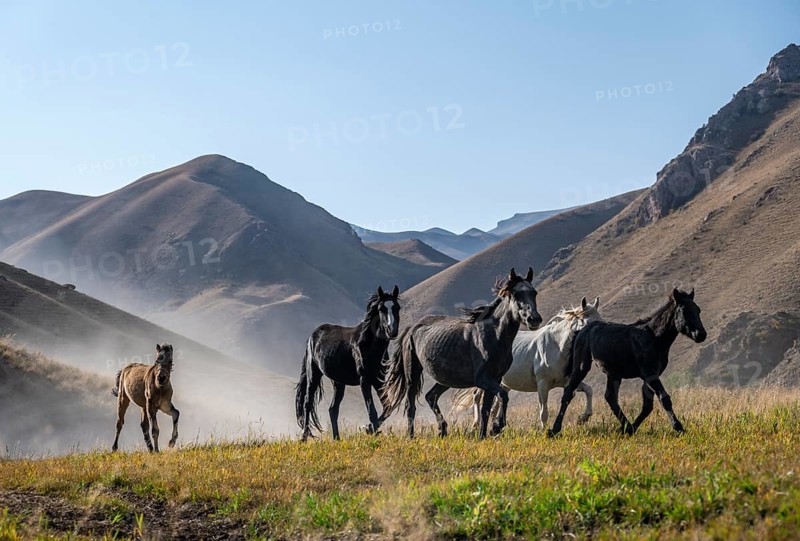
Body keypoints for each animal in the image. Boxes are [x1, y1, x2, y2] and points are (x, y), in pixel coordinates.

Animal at [295, 286, 400, 441]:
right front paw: (370, 430)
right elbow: (372, 410)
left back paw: (337, 438)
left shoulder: (378, 380)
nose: (392, 331)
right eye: (382, 308)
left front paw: (369, 428)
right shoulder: (364, 380)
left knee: (333, 409)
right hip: (314, 374)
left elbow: (388, 406)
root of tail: (312, 336)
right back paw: (303, 437)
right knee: (308, 402)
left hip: (338, 382)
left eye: (397, 307)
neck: (368, 345)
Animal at [382, 268, 543, 440]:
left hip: (446, 379)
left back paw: (442, 429)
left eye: (534, 292)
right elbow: (502, 397)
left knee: (431, 396)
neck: (494, 335)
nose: (534, 319)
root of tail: (411, 328)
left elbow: (486, 408)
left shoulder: (495, 379)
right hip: (413, 374)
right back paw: (411, 436)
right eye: (516, 294)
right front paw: (497, 426)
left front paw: (483, 435)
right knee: (410, 405)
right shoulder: (483, 379)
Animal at [452, 296, 601, 430]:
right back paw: (476, 424)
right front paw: (543, 431)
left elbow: (589, 389)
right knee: (477, 397)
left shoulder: (566, 382)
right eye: (587, 322)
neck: (557, 346)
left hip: (503, 383)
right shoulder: (543, 384)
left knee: (495, 403)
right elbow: (543, 412)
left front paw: (584, 417)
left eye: (600, 320)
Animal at [547, 288, 706, 437]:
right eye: (684, 310)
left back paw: (624, 427)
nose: (701, 335)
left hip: (613, 374)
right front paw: (679, 428)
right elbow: (664, 398)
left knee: (610, 398)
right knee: (568, 393)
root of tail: (582, 330)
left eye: (698, 310)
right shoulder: (650, 374)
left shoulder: (650, 376)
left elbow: (647, 406)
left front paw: (631, 429)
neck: (653, 338)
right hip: (582, 367)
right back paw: (554, 430)